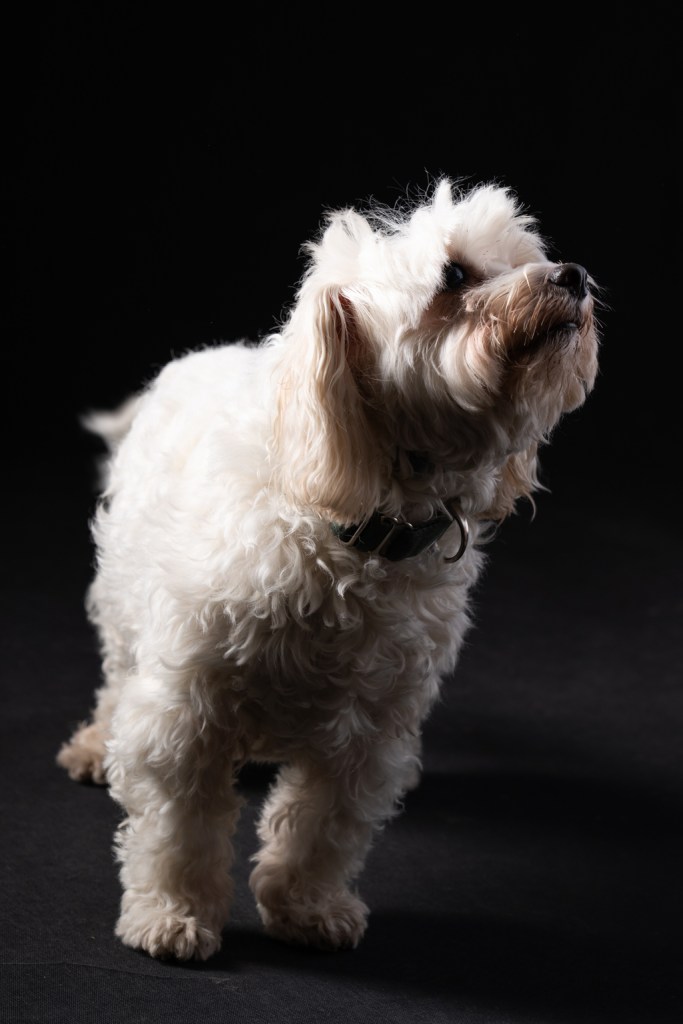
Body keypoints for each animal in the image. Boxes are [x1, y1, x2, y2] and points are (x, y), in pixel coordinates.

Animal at [57, 178, 600, 961]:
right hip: (127, 603)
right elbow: (177, 825)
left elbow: (322, 827)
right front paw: (173, 913)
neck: (358, 526)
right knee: (118, 673)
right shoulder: (184, 706)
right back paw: (97, 743)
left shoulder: (370, 728)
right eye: (454, 276)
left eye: (526, 256)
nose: (573, 276)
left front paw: (305, 908)